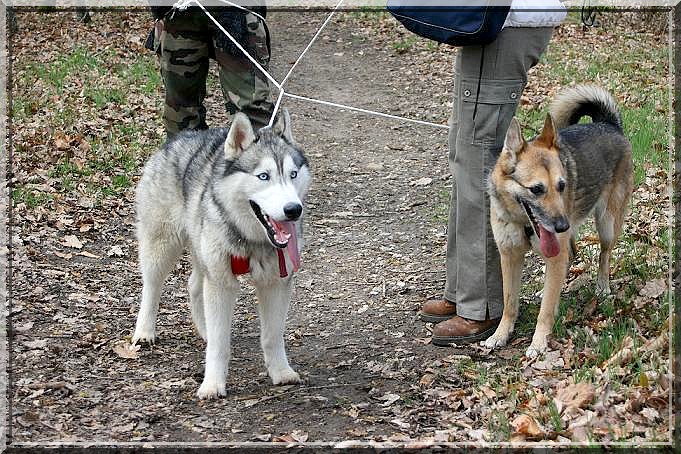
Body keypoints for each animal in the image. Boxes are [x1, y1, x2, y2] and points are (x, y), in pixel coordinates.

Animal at [484, 85, 632, 358]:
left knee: (604, 255)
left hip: (606, 224)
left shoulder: (553, 251)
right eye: (536, 189)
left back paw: (602, 287)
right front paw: (500, 334)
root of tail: (608, 124)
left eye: (562, 185)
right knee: (571, 255)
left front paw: (538, 342)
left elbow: (545, 312)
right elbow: (509, 303)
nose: (562, 225)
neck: (522, 221)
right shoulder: (509, 256)